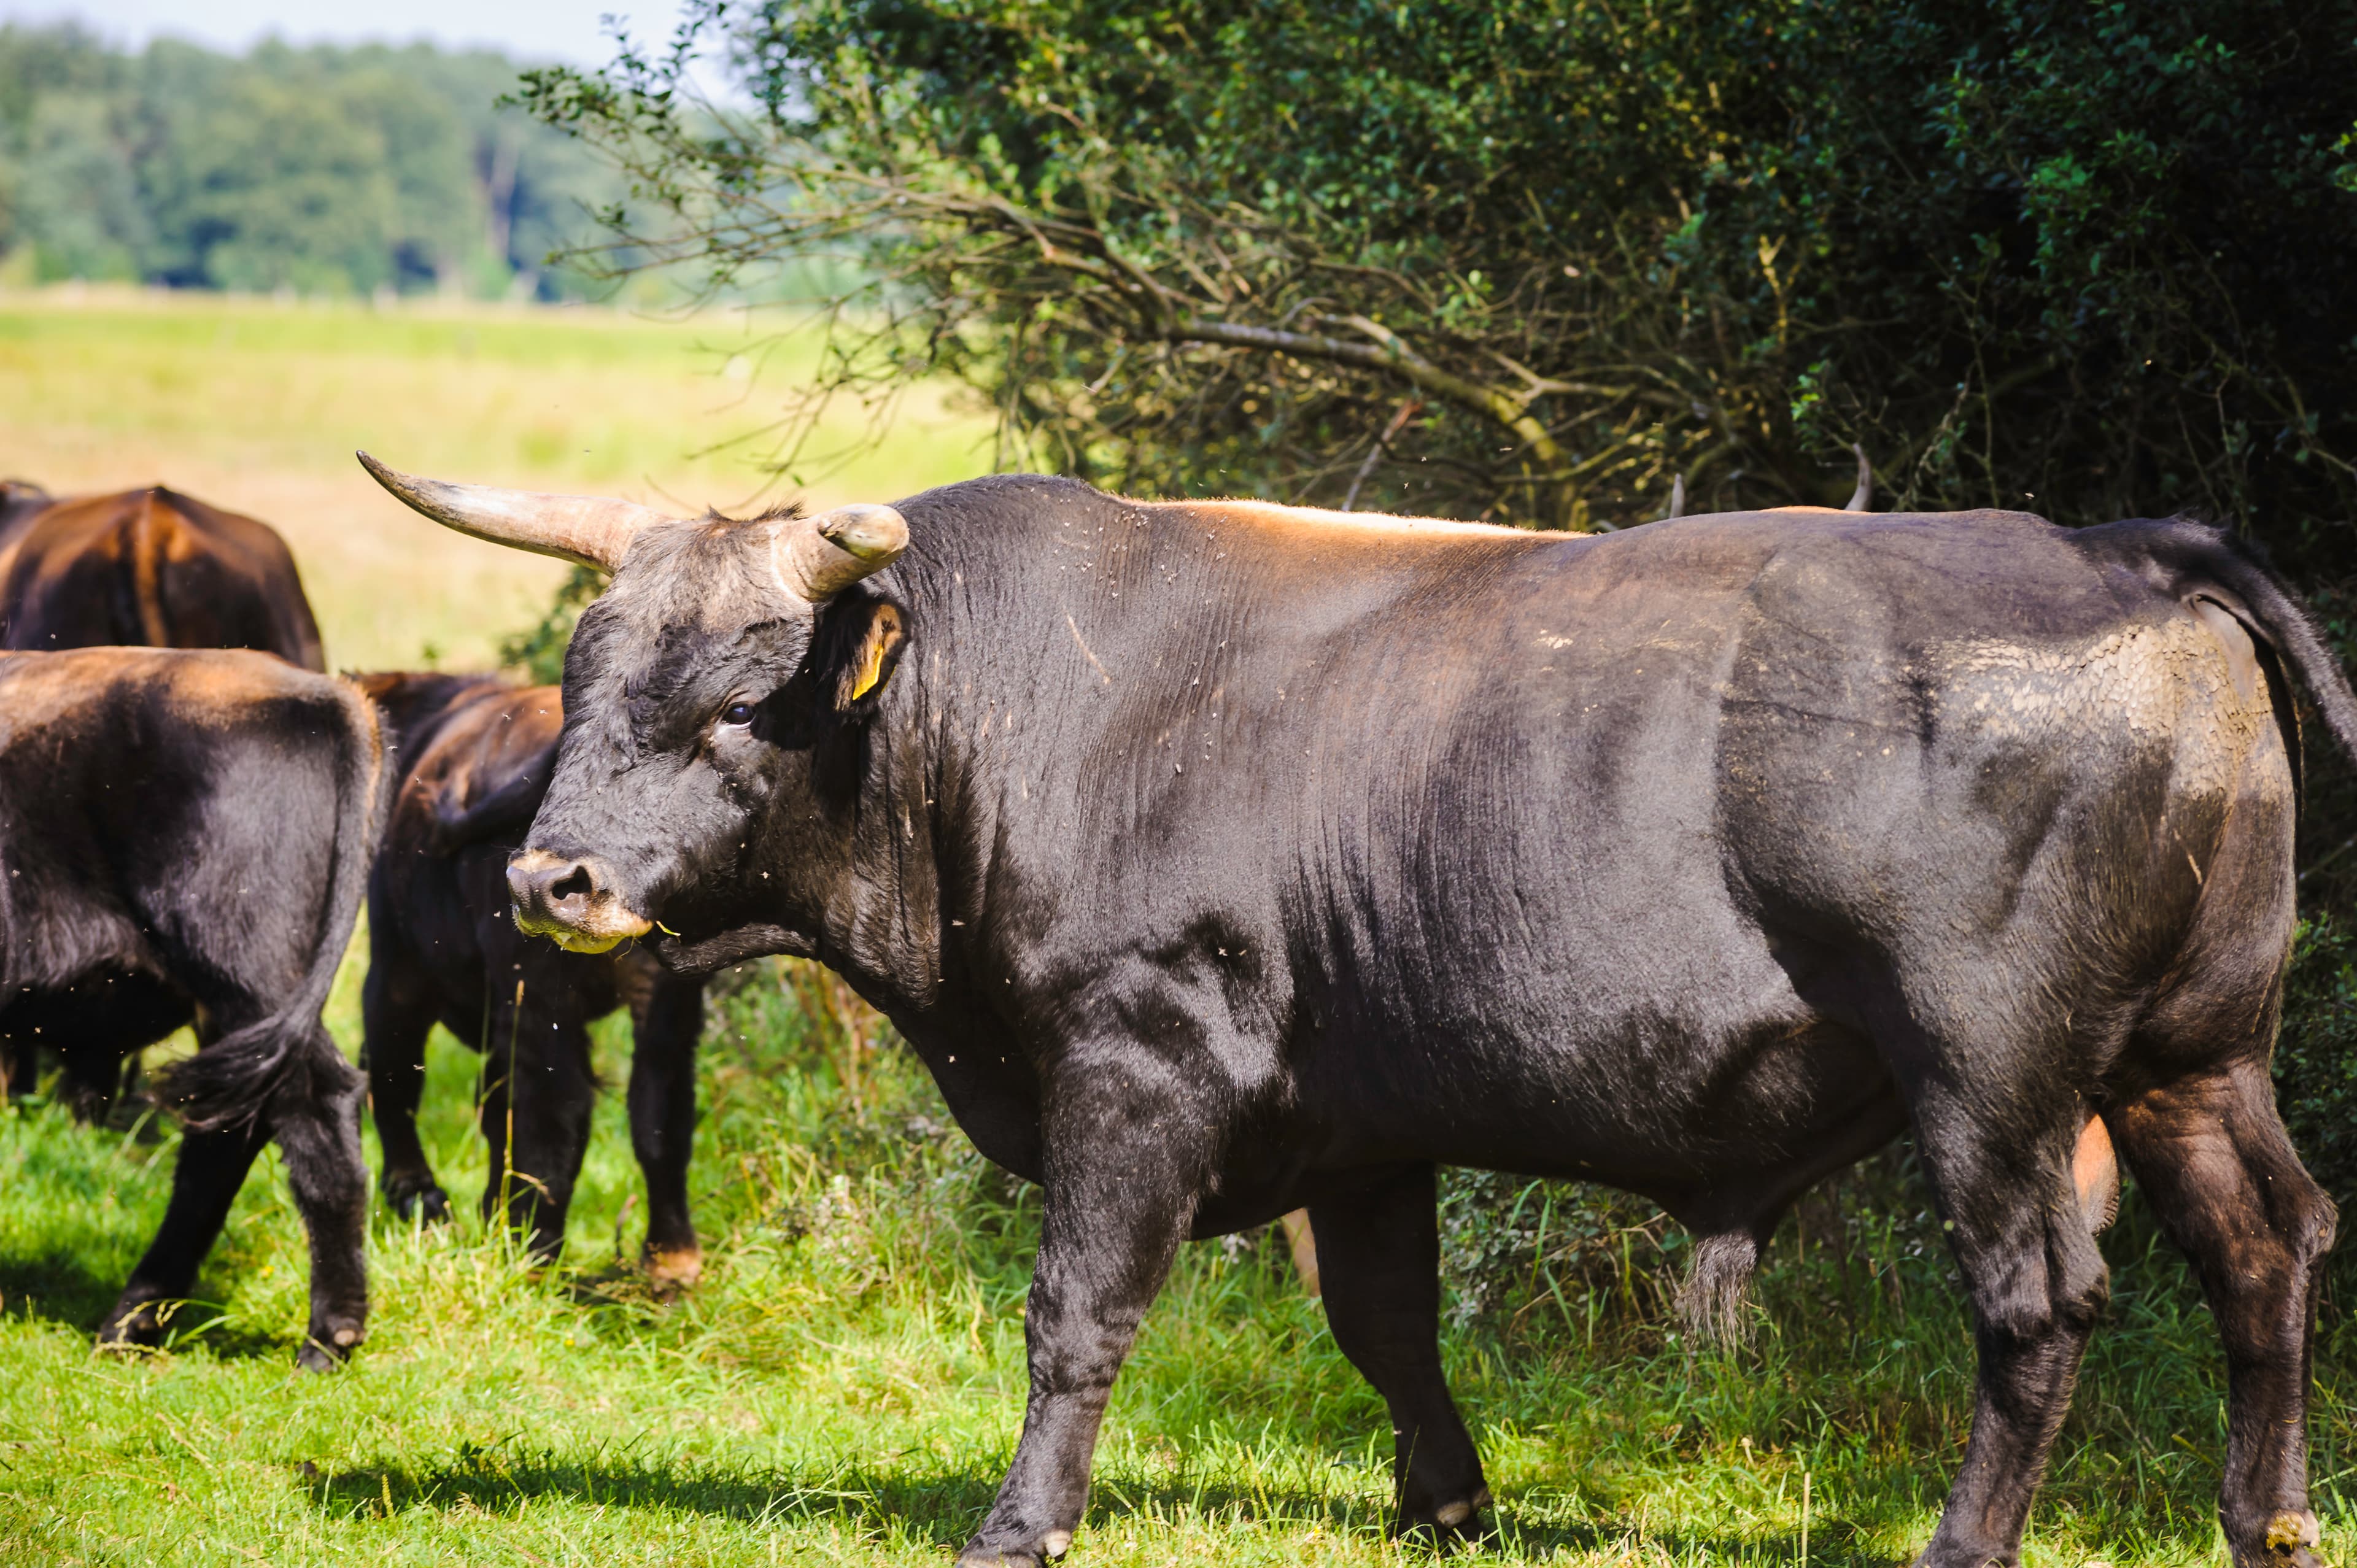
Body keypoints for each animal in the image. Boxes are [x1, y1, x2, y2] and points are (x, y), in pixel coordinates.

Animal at [0, 641, 382, 1367]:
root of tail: (319, 695)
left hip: (247, 976)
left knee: (310, 1109)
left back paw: (327, 1338)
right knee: (227, 1134)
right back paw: (131, 1322)